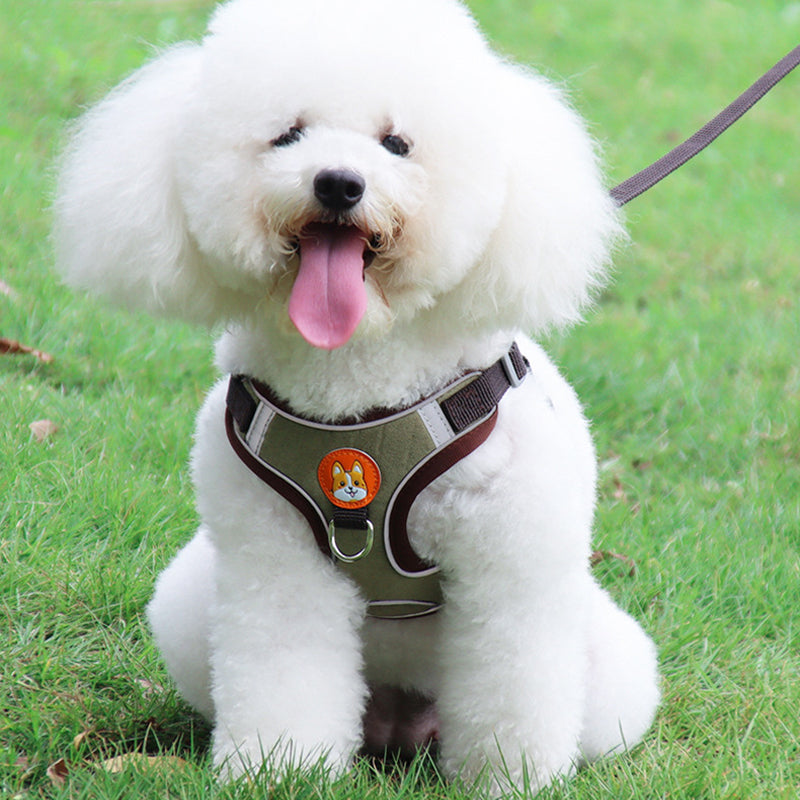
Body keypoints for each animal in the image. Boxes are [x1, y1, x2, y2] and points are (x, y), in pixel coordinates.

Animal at [54, 0, 656, 792]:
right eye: (287, 134)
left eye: (396, 143)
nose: (338, 183)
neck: (356, 387)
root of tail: (400, 723)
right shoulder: (275, 560)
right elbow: (285, 671)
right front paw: (279, 769)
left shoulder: (509, 564)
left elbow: (512, 682)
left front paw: (510, 780)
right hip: (189, 607)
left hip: (609, 665)